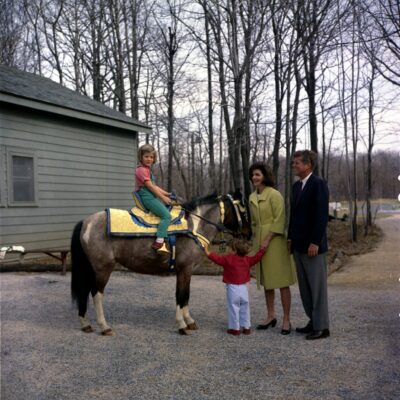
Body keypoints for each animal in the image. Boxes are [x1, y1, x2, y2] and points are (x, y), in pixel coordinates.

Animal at [69, 189, 250, 336]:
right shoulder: (184, 269)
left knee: (85, 290)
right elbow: (180, 295)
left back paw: (85, 324)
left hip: (90, 268)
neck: (193, 227)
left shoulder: (188, 271)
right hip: (103, 269)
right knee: (96, 293)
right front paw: (182, 325)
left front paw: (189, 321)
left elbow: (186, 295)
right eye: (243, 208)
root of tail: (86, 222)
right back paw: (104, 327)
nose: (249, 234)